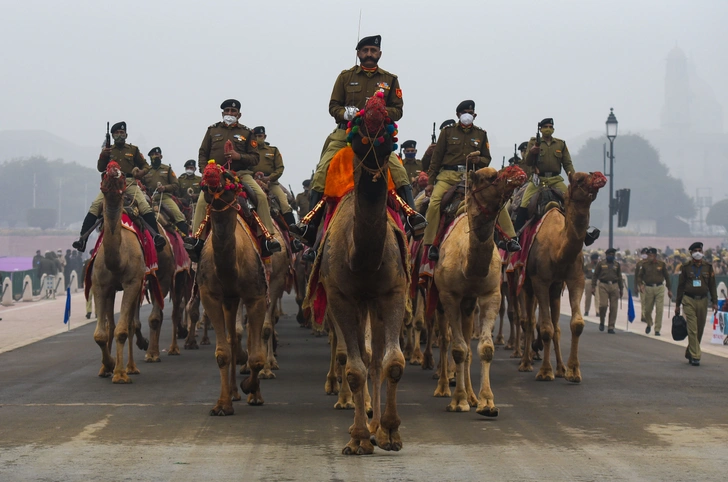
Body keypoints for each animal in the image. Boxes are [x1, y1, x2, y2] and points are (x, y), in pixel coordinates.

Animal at [92, 162, 151, 384]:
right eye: (103, 176)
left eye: (123, 179)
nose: (112, 170)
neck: (118, 261)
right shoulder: (100, 285)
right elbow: (101, 334)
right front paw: (107, 366)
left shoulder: (133, 282)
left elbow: (123, 330)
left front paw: (119, 373)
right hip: (111, 290)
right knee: (111, 325)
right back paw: (105, 368)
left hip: (139, 283)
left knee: (131, 325)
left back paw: (131, 367)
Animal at [196, 166, 268, 414]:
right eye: (204, 174)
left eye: (226, 176)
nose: (210, 175)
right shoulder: (211, 296)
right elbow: (222, 353)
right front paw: (222, 405)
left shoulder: (256, 296)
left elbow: (256, 357)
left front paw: (250, 388)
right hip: (230, 299)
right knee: (233, 338)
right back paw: (235, 392)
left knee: (248, 340)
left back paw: (251, 394)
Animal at [312, 92, 410, 454]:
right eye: (359, 125)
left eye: (390, 127)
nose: (377, 106)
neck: (363, 260)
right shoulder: (341, 296)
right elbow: (354, 367)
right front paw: (357, 439)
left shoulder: (393, 292)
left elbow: (393, 363)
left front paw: (390, 433)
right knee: (365, 358)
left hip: (375, 303)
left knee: (377, 358)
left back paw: (376, 425)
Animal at [430, 166, 528, 414]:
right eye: (488, 178)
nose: (519, 173)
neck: (468, 265)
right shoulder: (449, 296)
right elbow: (457, 349)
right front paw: (458, 401)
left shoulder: (490, 294)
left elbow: (484, 348)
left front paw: (486, 402)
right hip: (438, 297)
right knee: (445, 340)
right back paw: (443, 388)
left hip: (469, 303)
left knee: (467, 344)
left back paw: (471, 396)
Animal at [516, 171, 608, 382]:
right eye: (579, 179)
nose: (599, 177)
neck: (557, 249)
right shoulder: (540, 281)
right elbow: (545, 328)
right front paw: (545, 372)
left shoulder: (575, 279)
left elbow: (576, 324)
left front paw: (572, 371)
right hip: (526, 282)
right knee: (529, 320)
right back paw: (526, 363)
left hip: (556, 288)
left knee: (556, 324)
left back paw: (560, 368)